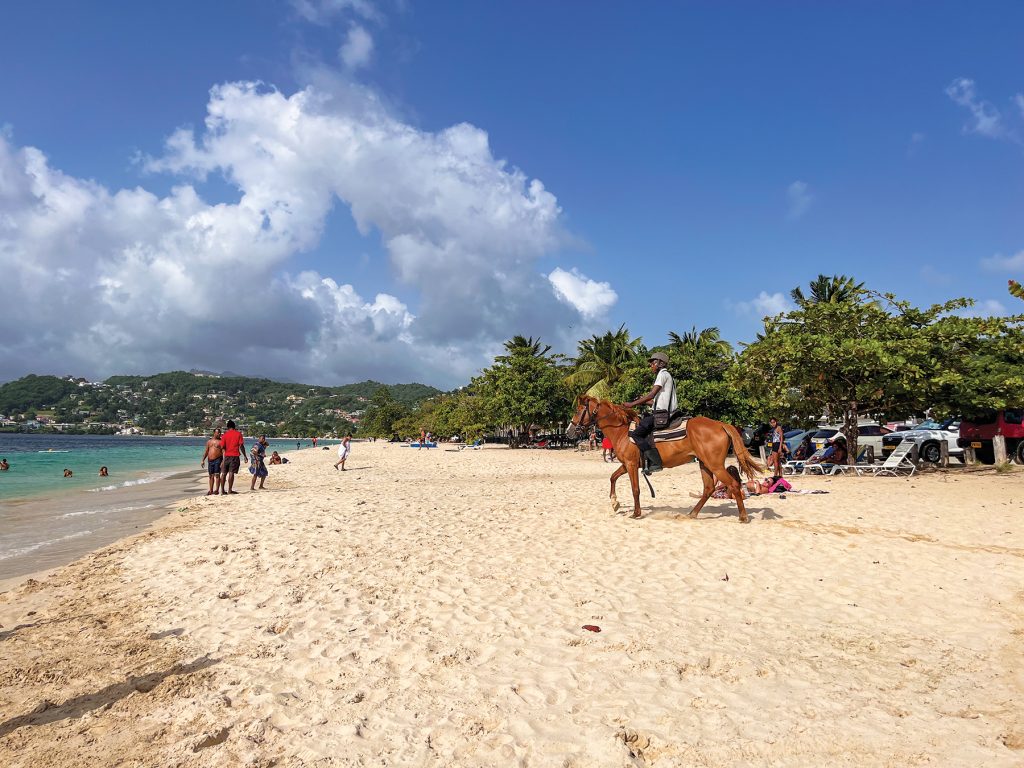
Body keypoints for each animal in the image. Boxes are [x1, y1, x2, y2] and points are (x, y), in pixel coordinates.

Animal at [565, 397, 765, 524]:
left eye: (578, 410)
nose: (569, 431)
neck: (622, 432)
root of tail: (720, 424)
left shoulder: (631, 465)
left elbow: (635, 489)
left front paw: (636, 513)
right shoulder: (626, 464)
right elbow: (613, 477)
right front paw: (615, 502)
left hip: (715, 465)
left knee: (733, 485)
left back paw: (743, 517)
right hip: (705, 464)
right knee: (708, 489)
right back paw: (692, 514)